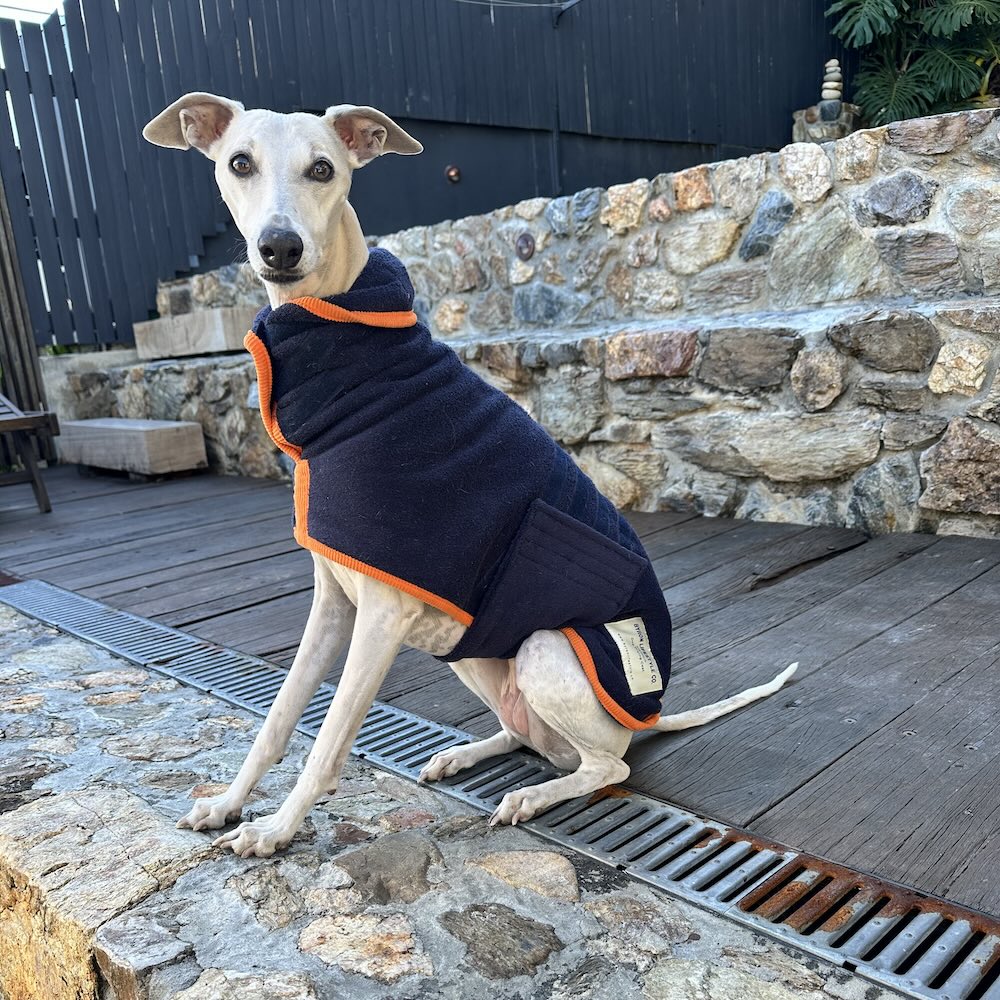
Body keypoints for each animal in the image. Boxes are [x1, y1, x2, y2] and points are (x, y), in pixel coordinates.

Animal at [143, 95, 796, 860]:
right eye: (239, 163)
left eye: (323, 169)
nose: (280, 248)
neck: (352, 352)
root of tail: (648, 711)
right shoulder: (334, 602)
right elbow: (279, 719)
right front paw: (228, 804)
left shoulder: (381, 616)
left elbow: (328, 740)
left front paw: (277, 828)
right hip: (470, 648)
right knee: (529, 736)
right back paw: (464, 755)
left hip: (549, 647)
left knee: (605, 766)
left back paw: (532, 795)